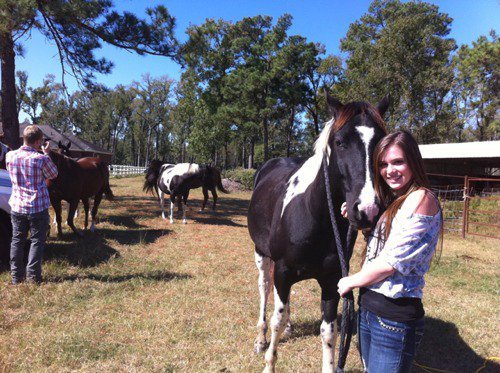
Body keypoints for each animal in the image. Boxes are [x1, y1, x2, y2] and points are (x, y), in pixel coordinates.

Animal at [248, 92, 388, 372]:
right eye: (340, 141)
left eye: (381, 142)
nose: (367, 209)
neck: (313, 215)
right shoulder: (283, 272)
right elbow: (276, 320)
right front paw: (269, 362)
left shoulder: (332, 281)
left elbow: (329, 332)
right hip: (261, 255)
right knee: (265, 289)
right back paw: (260, 338)